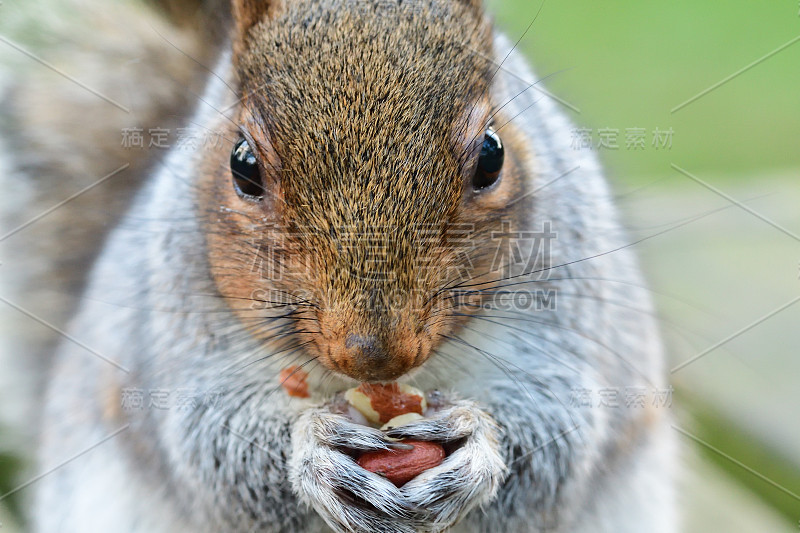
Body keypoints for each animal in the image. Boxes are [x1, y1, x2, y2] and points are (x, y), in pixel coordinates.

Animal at [1, 0, 676, 528]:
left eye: (491, 155)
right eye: (242, 165)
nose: (374, 355)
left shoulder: (567, 303)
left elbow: (561, 429)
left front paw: (474, 442)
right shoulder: (175, 326)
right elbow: (211, 445)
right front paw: (315, 449)